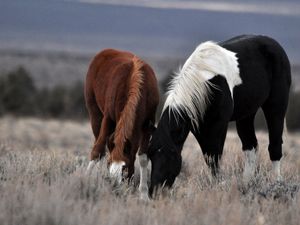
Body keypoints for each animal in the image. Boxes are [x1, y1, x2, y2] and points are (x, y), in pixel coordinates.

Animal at [84, 48, 159, 199]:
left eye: (125, 168)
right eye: (109, 165)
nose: (114, 187)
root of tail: (105, 52)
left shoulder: (147, 124)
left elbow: (143, 157)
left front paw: (143, 194)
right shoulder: (108, 118)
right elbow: (97, 150)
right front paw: (85, 180)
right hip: (95, 115)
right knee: (99, 146)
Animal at [149, 35, 292, 195]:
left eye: (172, 153)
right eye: (150, 154)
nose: (155, 190)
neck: (205, 82)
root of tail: (274, 44)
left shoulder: (219, 125)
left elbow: (214, 156)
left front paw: (219, 186)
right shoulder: (200, 128)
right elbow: (209, 157)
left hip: (276, 106)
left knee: (275, 145)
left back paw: (277, 184)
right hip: (246, 114)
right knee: (251, 146)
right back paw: (246, 184)